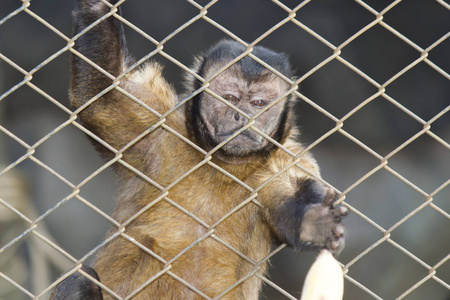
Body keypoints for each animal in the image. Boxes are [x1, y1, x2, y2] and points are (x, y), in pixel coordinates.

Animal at [51, 0, 348, 300]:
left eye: (259, 103)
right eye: (229, 98)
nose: (242, 116)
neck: (222, 163)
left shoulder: (286, 159)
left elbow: (290, 203)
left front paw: (313, 222)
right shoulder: (159, 129)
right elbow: (102, 97)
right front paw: (97, 6)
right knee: (80, 279)